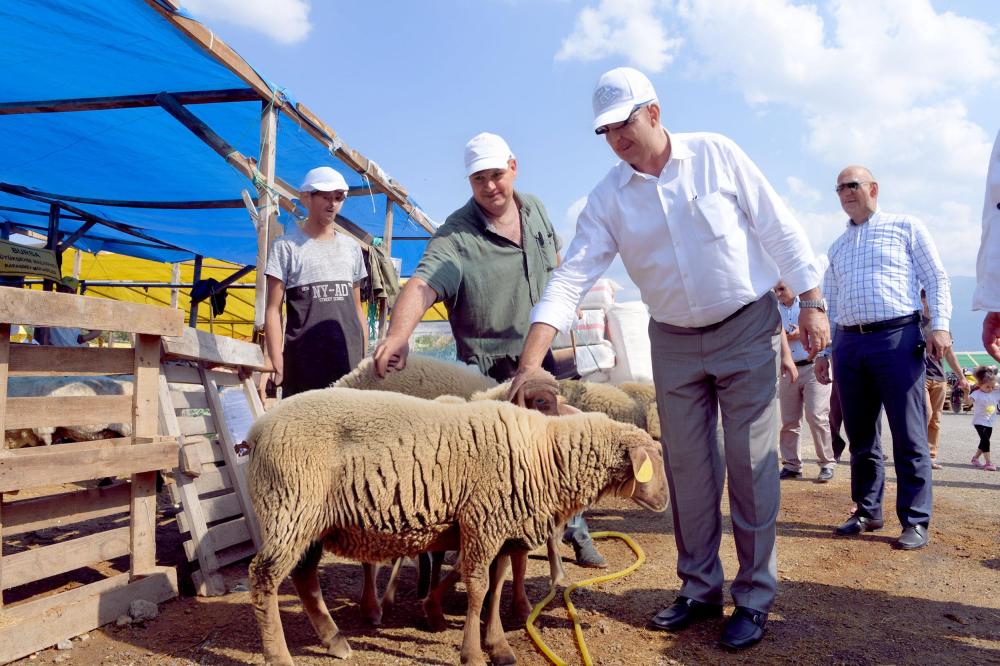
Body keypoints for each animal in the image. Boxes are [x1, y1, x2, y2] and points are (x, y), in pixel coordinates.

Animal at [246, 386, 668, 660]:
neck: (544, 453)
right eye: (652, 461)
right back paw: (279, 656)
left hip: (310, 522)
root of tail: (258, 427)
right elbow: (478, 589)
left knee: (304, 577)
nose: (665, 501)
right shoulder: (483, 522)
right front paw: (473, 653)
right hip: (289, 506)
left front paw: (498, 646)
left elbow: (496, 587)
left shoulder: (501, 528)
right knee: (264, 577)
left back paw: (335, 642)